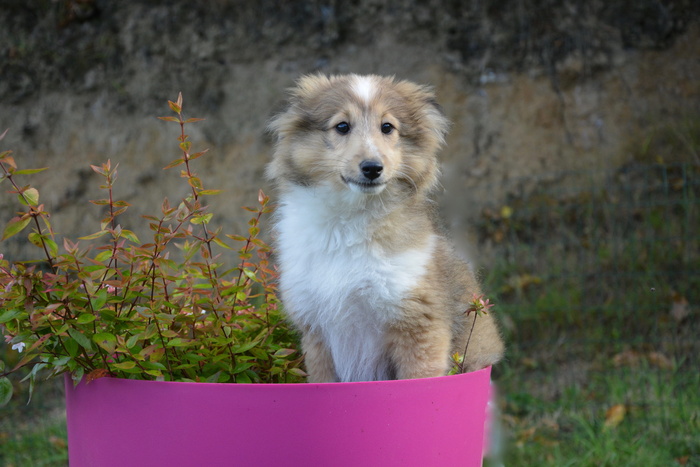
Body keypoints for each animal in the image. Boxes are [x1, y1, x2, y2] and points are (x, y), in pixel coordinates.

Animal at [266, 74, 504, 384]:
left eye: (387, 127)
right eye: (342, 126)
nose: (372, 168)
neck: (350, 220)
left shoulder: (420, 326)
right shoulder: (317, 336)